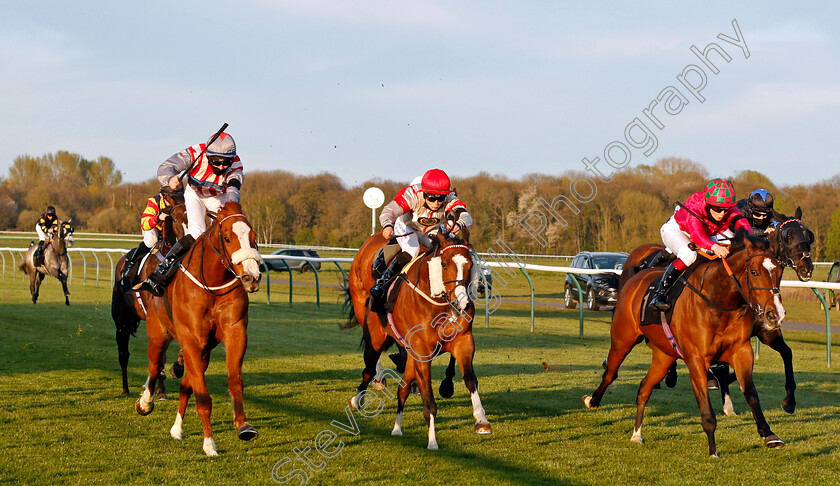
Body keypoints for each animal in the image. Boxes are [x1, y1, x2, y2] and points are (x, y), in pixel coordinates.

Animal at [135, 200, 262, 456]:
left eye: (253, 237)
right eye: (227, 238)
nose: (251, 277)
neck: (212, 284)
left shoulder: (234, 333)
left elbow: (234, 380)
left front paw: (244, 426)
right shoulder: (191, 340)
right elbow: (202, 396)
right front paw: (209, 443)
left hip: (204, 352)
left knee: (186, 385)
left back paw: (176, 429)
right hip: (159, 335)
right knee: (154, 367)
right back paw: (145, 402)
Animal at [344, 230, 492, 450]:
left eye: (469, 264)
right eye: (444, 264)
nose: (462, 303)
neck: (440, 303)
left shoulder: (463, 342)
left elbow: (470, 379)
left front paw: (481, 420)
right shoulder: (422, 352)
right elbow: (428, 396)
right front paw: (432, 440)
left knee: (402, 387)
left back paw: (397, 428)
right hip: (375, 340)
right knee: (368, 370)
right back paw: (358, 399)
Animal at [584, 234, 788, 458]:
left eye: (779, 272)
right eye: (754, 272)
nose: (775, 315)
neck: (718, 301)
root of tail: (634, 278)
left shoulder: (741, 352)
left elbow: (751, 395)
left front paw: (769, 434)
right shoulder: (696, 359)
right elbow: (706, 409)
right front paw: (713, 451)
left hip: (664, 356)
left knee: (644, 388)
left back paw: (636, 435)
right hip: (623, 339)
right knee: (611, 372)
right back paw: (592, 401)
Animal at [616, 209, 812, 414]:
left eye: (808, 236)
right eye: (789, 236)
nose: (807, 269)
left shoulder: (762, 330)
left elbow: (786, 353)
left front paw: (789, 401)